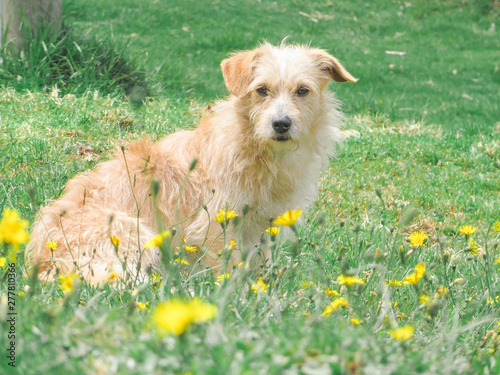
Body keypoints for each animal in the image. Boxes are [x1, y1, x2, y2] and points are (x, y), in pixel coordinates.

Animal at [26, 42, 356, 284]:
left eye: (303, 90)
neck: (255, 148)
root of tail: (43, 262)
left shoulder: (265, 226)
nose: (281, 124)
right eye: (262, 89)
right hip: (133, 233)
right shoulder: (215, 224)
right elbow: (227, 270)